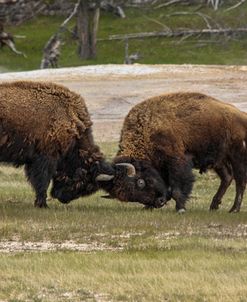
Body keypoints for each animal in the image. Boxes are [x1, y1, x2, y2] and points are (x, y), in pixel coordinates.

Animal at [96, 92, 247, 212]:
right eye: (130, 197)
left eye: (140, 182)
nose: (159, 202)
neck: (147, 131)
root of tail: (241, 116)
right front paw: (147, 207)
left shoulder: (177, 162)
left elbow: (176, 188)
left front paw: (180, 208)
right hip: (219, 160)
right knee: (227, 177)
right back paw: (213, 206)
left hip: (236, 155)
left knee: (240, 180)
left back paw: (234, 209)